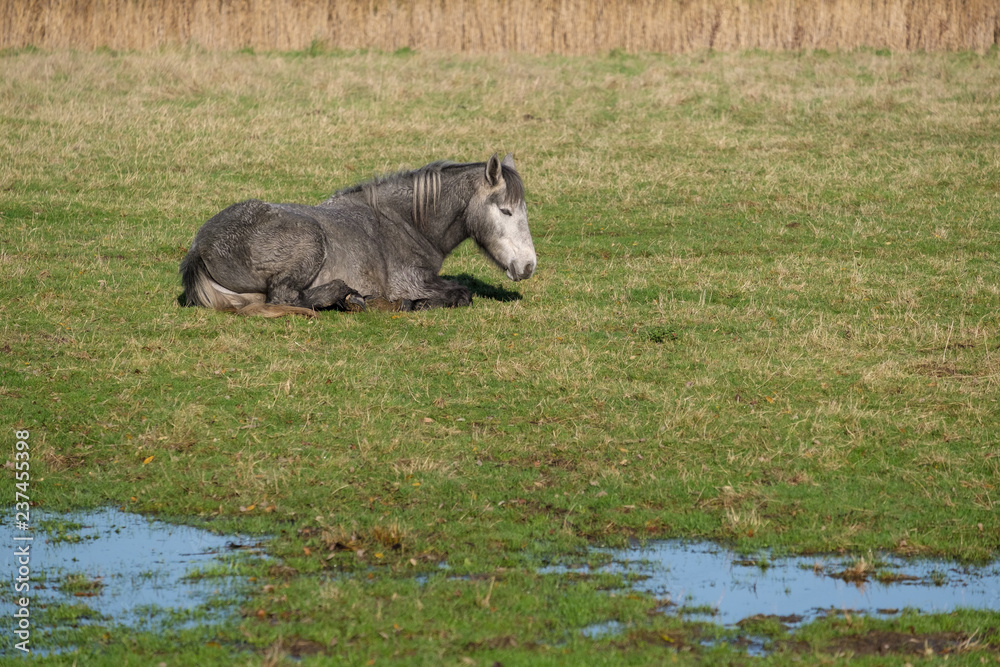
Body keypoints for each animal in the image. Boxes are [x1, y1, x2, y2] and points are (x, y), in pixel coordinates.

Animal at [179, 153, 536, 317]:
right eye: (505, 210)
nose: (528, 266)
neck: (402, 223)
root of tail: (200, 247)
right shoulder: (413, 281)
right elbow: (461, 293)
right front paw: (414, 303)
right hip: (310, 241)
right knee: (285, 297)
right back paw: (350, 298)